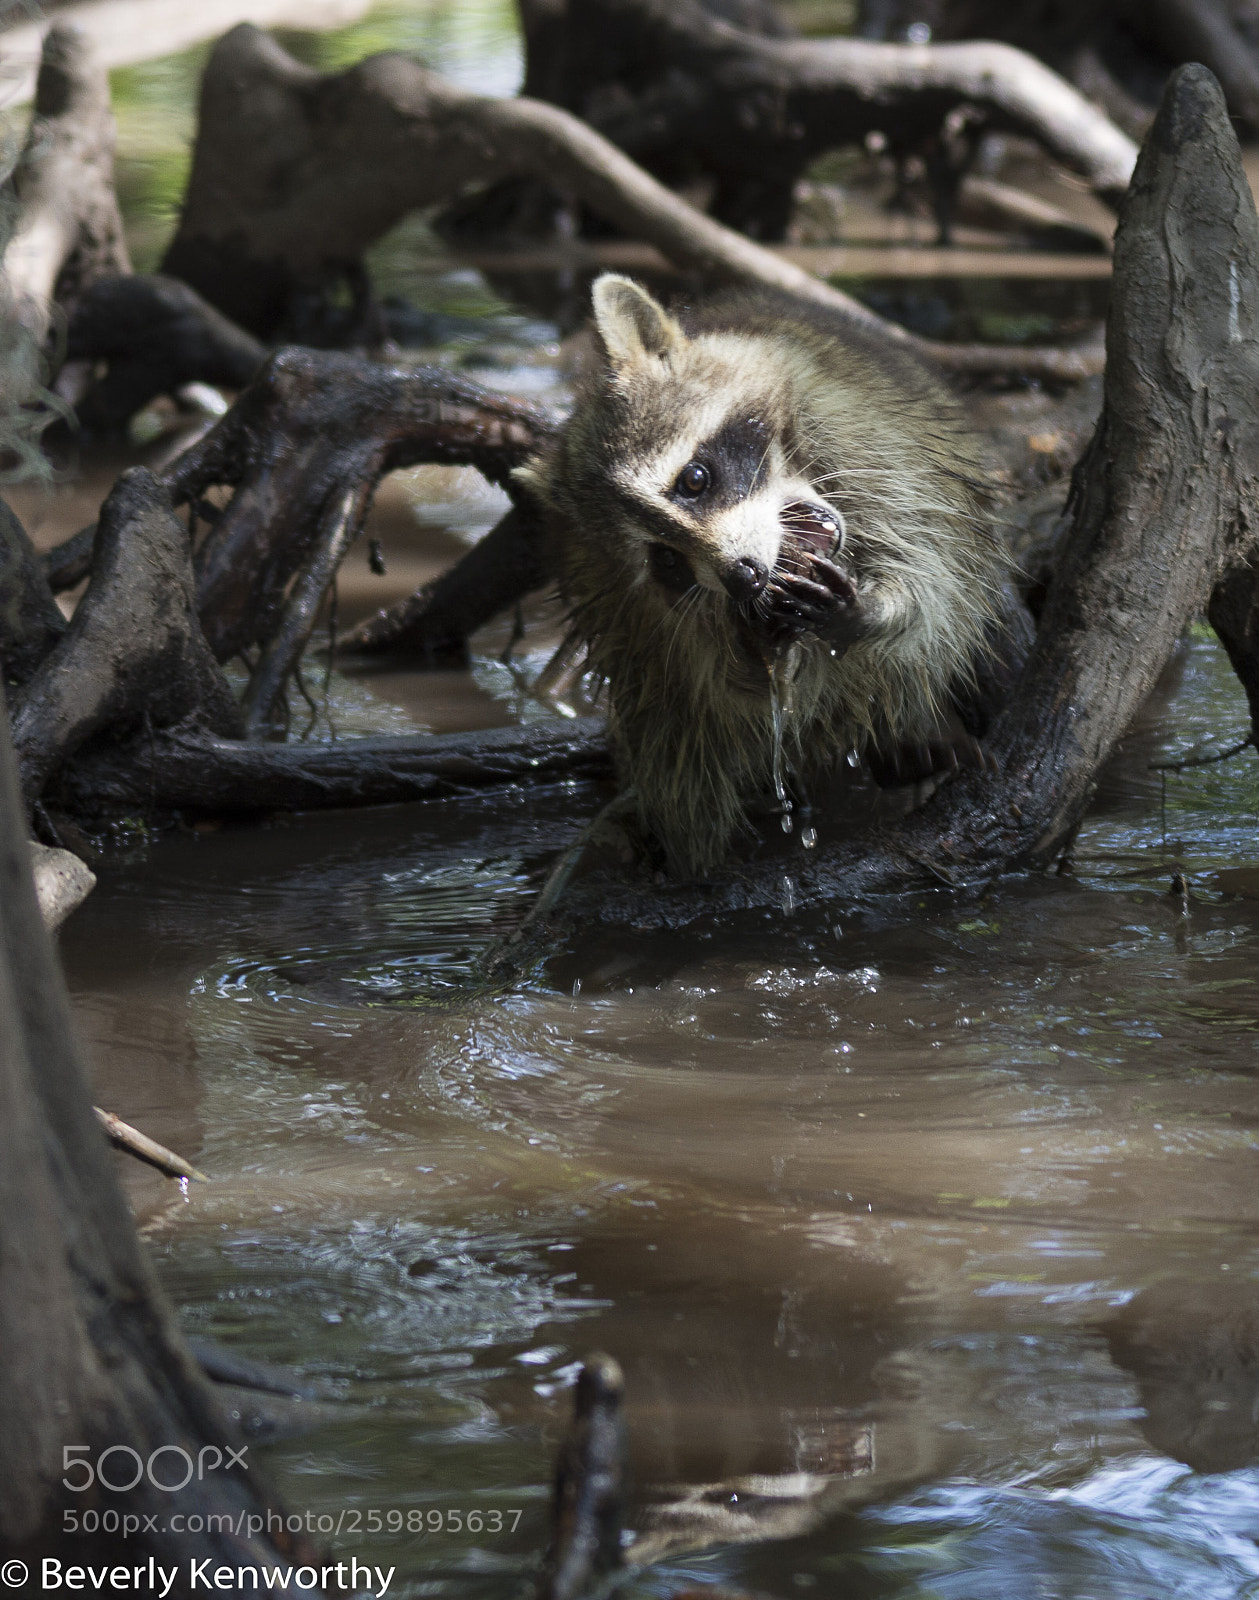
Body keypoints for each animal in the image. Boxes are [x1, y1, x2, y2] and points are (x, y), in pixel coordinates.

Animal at [515, 275, 1007, 878]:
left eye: (695, 480)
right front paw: (758, 655)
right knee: (674, 739)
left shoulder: (870, 439)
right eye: (666, 561)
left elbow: (930, 573)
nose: (742, 579)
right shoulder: (624, 599)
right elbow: (715, 686)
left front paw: (872, 612)